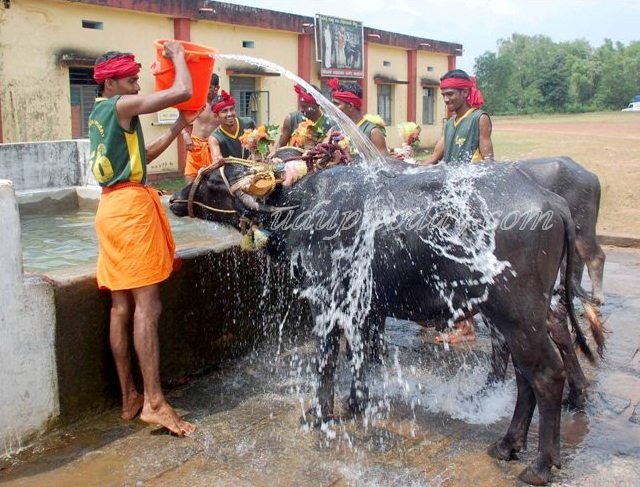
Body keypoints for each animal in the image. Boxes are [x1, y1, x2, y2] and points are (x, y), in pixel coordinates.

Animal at [171, 162, 596, 486]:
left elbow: (327, 359)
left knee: (546, 374)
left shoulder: (326, 302)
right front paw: (357, 402)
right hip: (513, 317)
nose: (175, 198)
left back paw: (540, 464)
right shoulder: (366, 308)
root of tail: (551, 201)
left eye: (212, 180)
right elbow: (364, 353)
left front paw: (320, 413)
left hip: (518, 315)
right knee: (526, 375)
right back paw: (508, 445)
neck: (300, 208)